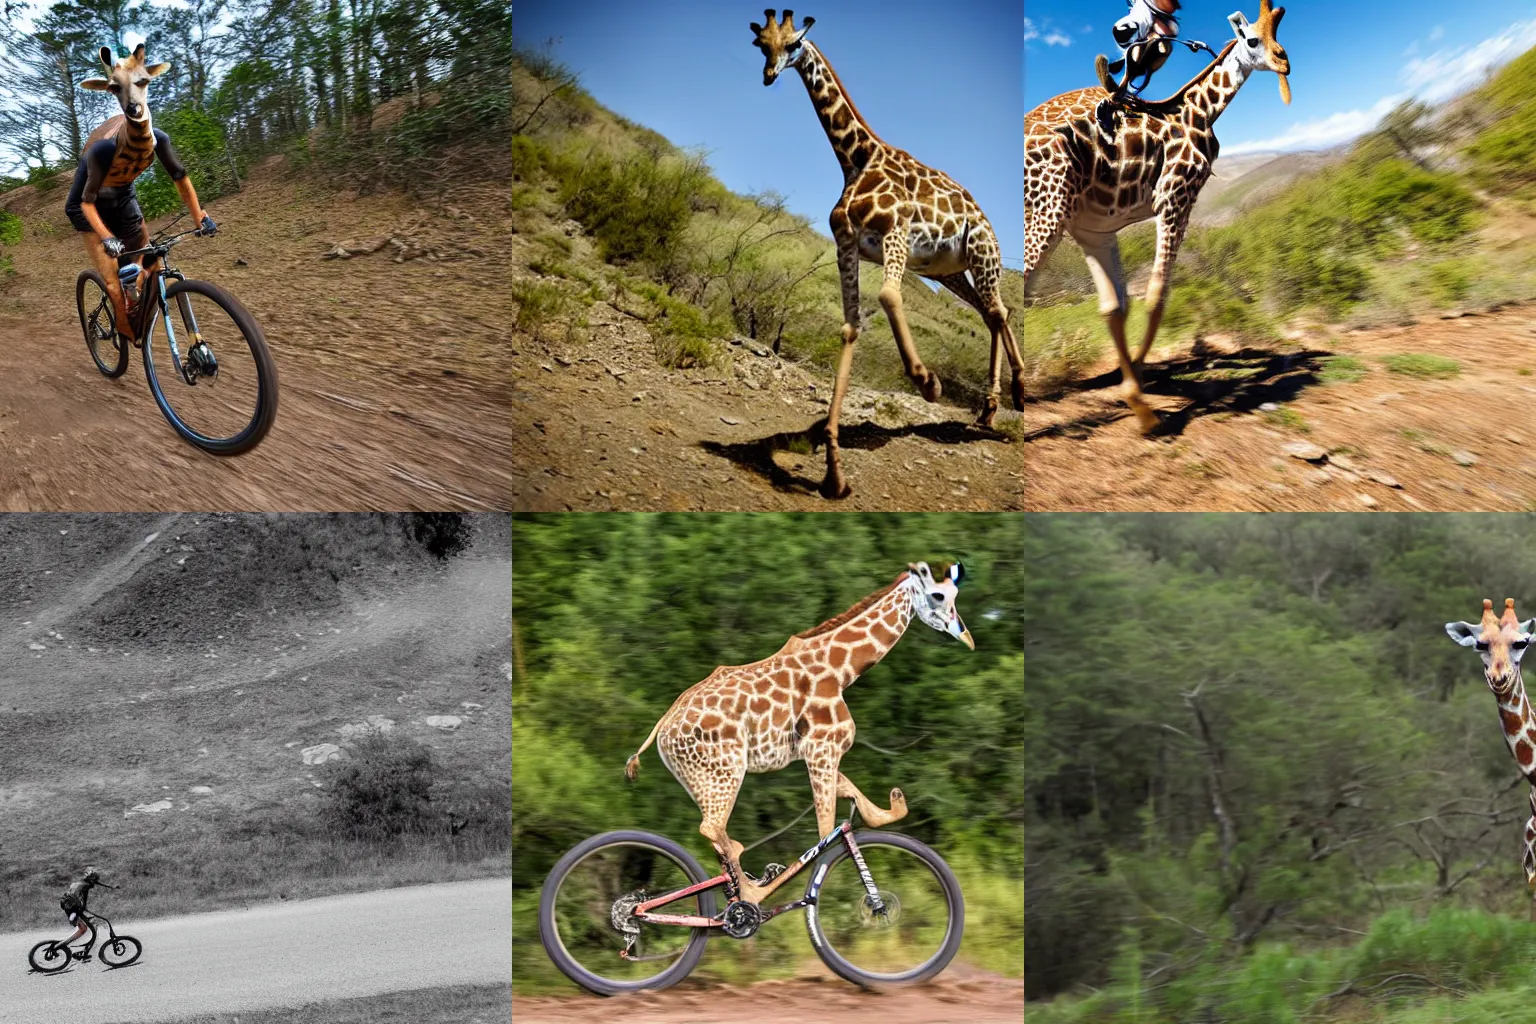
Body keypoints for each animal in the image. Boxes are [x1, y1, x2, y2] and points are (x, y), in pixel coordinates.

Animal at [623, 561, 970, 902]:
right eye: (939, 596)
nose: (967, 637)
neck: (842, 672)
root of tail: (662, 729)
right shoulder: (823, 747)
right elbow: (827, 828)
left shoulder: (817, 750)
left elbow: (861, 806)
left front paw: (892, 802)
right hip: (727, 769)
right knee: (711, 828)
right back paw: (750, 894)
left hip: (699, 778)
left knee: (714, 831)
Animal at [749, 11, 1026, 500]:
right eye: (763, 45)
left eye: (793, 44)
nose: (768, 76)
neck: (855, 158)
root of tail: (984, 216)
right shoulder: (847, 245)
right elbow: (850, 328)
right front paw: (834, 474)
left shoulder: (895, 232)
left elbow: (890, 298)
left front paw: (928, 382)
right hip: (947, 271)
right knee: (989, 313)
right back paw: (991, 409)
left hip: (982, 253)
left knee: (998, 309)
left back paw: (1019, 392)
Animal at [1026, 0, 1290, 432]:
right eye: (1253, 39)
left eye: (1277, 38)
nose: (1284, 61)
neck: (1200, 110)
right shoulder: (1176, 197)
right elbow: (1156, 296)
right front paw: (1140, 401)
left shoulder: (1094, 229)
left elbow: (1115, 307)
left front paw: (1133, 391)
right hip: (1046, 212)